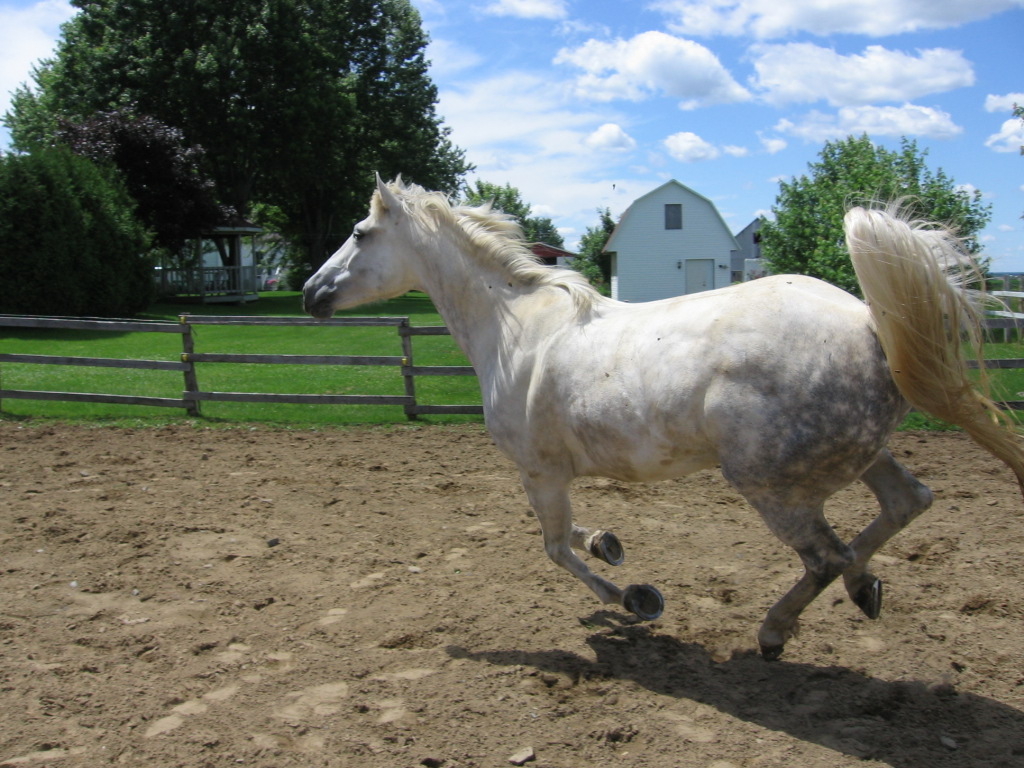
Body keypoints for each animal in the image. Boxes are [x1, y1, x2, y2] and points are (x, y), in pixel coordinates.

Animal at [301, 176, 1024, 663]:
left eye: (361, 234)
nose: (310, 294)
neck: (511, 328)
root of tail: (871, 322)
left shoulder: (539, 471)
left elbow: (554, 547)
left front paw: (635, 599)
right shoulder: (553, 474)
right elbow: (571, 538)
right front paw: (609, 543)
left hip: (772, 484)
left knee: (826, 556)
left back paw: (774, 631)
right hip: (861, 454)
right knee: (907, 503)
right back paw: (865, 590)